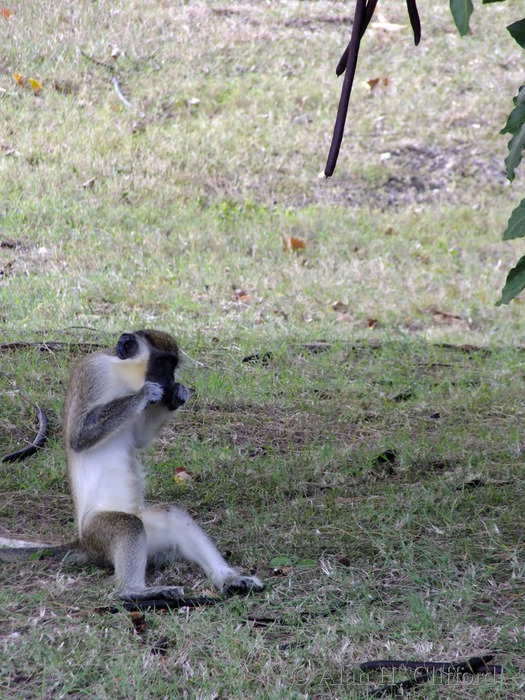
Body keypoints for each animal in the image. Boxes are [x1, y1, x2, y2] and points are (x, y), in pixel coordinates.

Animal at [1, 330, 263, 604]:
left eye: (172, 365)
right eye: (161, 363)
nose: (170, 380)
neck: (121, 373)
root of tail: (82, 543)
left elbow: (139, 438)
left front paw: (178, 394)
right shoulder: (90, 373)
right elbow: (78, 436)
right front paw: (144, 395)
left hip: (150, 540)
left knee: (172, 515)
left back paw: (231, 579)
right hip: (98, 534)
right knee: (129, 525)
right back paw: (134, 591)